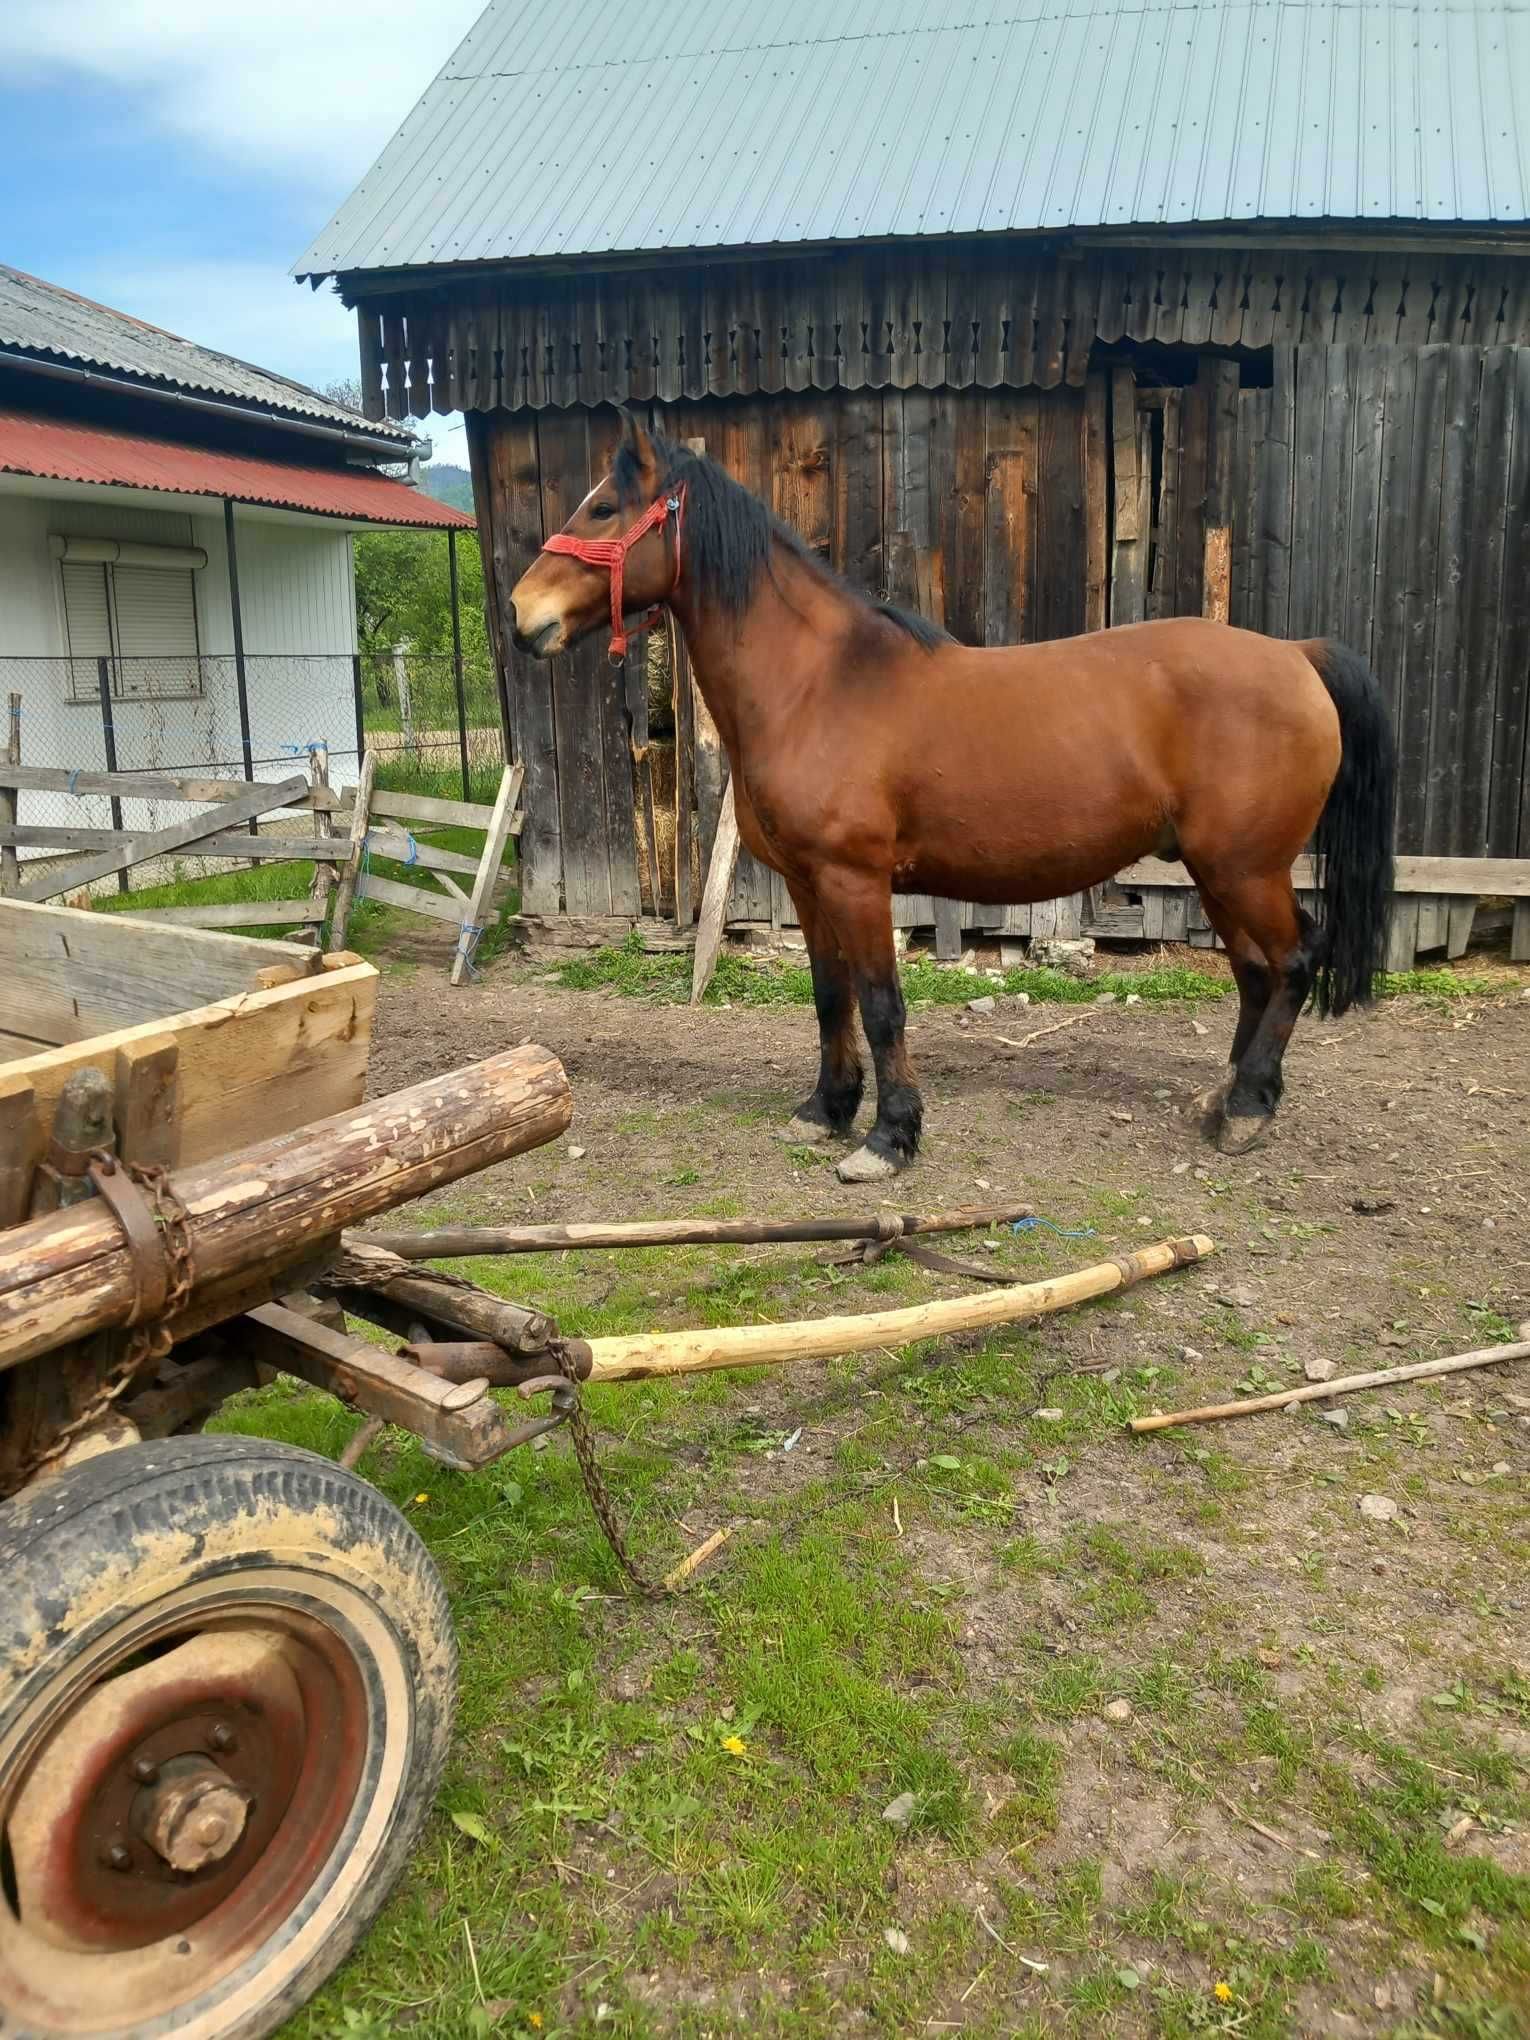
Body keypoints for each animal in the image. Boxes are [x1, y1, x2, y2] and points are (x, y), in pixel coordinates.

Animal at [516, 412, 1403, 1183]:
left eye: (602, 506)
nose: (523, 615)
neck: (818, 685)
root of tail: (1295, 654)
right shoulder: (807, 884)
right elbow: (830, 996)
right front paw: (826, 1110)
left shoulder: (855, 881)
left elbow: (881, 1005)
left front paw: (887, 1138)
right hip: (1219, 871)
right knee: (1255, 971)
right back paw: (1229, 1098)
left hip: (1245, 869)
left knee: (1294, 959)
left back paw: (1250, 1109)